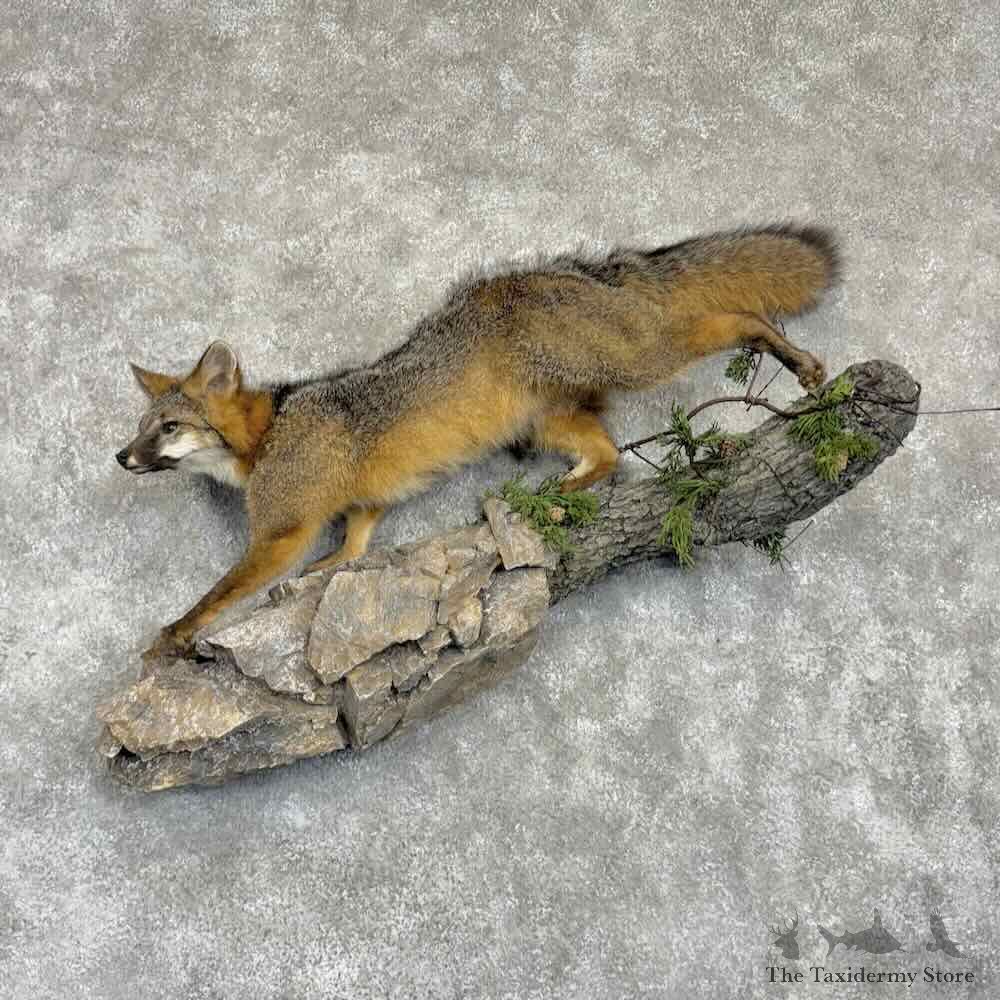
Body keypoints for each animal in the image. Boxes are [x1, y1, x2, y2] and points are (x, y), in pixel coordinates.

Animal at [117, 223, 839, 657]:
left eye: (168, 428)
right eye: (141, 428)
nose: (121, 457)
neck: (271, 431)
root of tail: (576, 269)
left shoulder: (280, 533)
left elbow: (221, 591)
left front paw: (176, 631)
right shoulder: (364, 509)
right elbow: (350, 549)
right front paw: (315, 579)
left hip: (643, 358)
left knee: (734, 318)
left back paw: (795, 358)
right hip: (547, 421)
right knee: (607, 456)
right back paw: (554, 496)